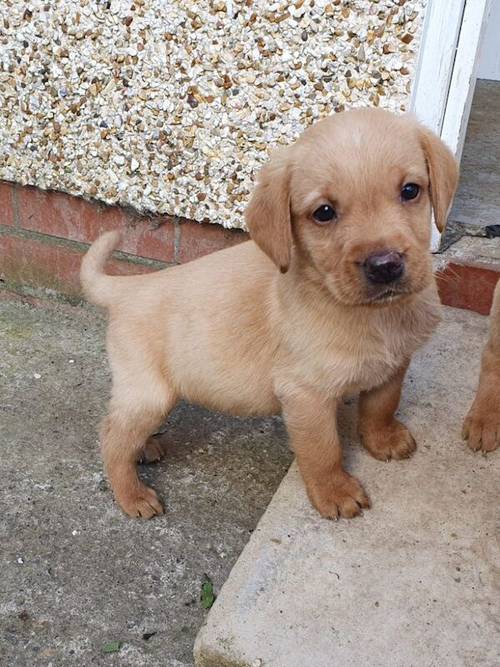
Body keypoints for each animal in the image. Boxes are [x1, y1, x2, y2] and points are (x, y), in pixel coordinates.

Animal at [80, 107, 458, 520]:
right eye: (324, 213)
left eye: (410, 191)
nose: (385, 265)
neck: (371, 313)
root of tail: (128, 287)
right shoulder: (306, 393)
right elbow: (323, 450)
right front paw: (335, 492)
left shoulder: (394, 363)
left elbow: (382, 404)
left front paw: (383, 439)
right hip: (149, 393)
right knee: (110, 437)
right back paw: (132, 494)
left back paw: (145, 448)